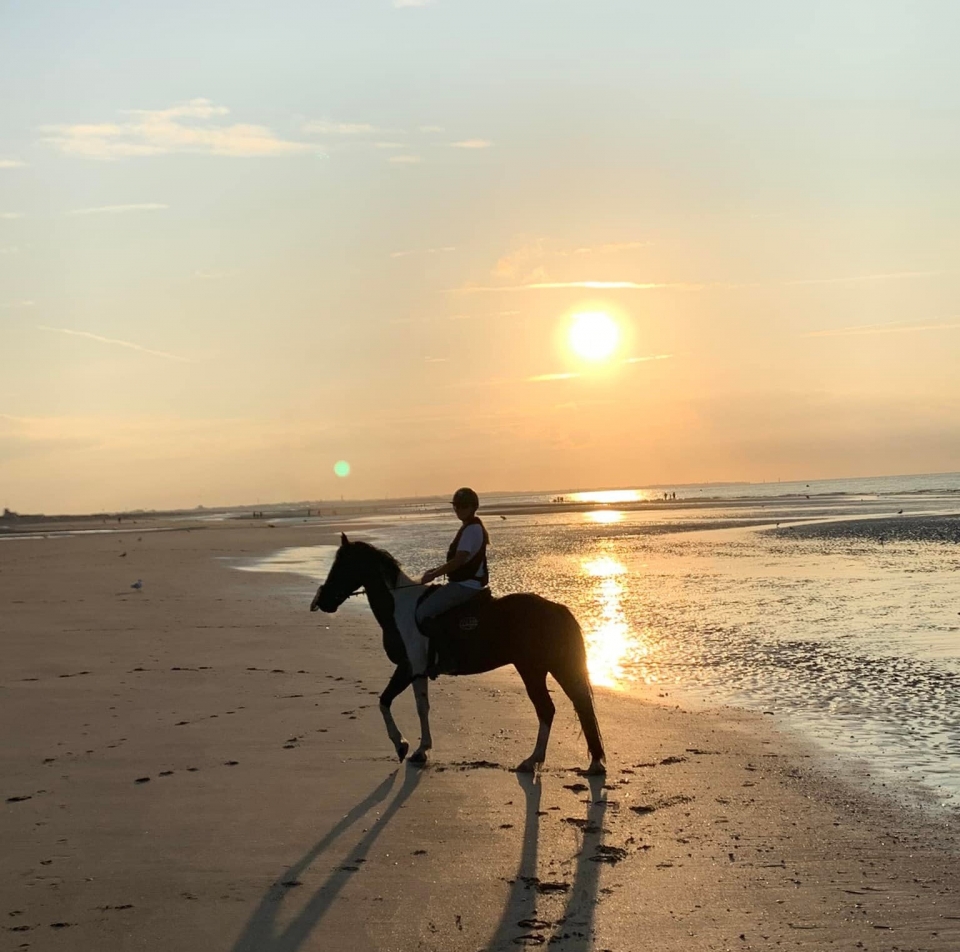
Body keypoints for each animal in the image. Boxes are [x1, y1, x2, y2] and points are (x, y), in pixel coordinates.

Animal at [310, 534, 606, 775]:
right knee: (580, 704)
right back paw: (594, 763)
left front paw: (403, 746)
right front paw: (420, 749)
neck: (399, 608)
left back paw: (532, 761)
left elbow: (387, 702)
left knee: (547, 709)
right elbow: (419, 706)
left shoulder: (408, 667)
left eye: (343, 565)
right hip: (554, 666)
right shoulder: (416, 670)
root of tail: (556, 608)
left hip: (531, 669)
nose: (322, 602)